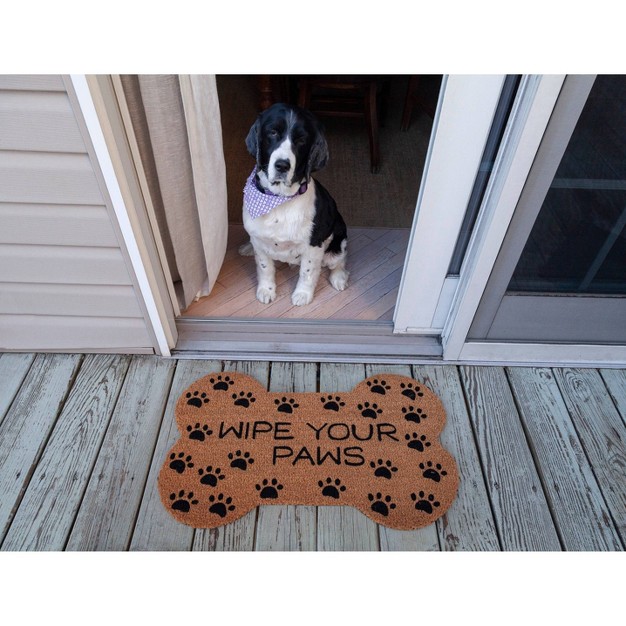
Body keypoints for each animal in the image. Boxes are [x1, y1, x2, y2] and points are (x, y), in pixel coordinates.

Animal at [238, 103, 346, 306]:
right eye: (273, 132)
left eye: (301, 140)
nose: (282, 165)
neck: (277, 200)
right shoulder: (260, 243)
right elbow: (264, 267)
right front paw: (266, 290)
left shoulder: (314, 245)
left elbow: (307, 271)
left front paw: (303, 294)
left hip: (338, 239)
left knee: (339, 261)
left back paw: (339, 278)